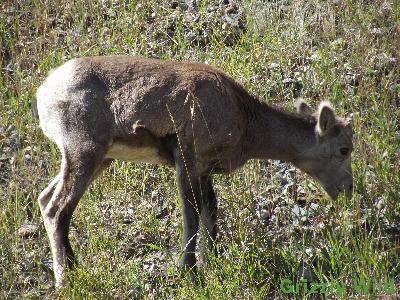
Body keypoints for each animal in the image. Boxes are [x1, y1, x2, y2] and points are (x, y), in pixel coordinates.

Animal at [34, 55, 354, 288]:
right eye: (344, 149)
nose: (348, 190)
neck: (245, 121)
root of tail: (44, 91)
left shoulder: (204, 171)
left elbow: (209, 211)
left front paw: (210, 263)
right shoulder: (187, 160)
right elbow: (192, 213)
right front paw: (190, 273)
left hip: (98, 160)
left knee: (45, 199)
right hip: (84, 153)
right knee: (57, 209)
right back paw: (66, 281)